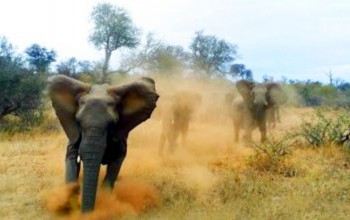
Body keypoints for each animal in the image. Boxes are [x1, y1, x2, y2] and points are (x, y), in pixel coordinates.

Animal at [47, 75, 159, 212]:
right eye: (78, 122)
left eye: (112, 124)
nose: (86, 214)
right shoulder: (74, 133)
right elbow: (71, 157)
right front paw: (69, 199)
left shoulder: (119, 135)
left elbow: (116, 162)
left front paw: (105, 201)